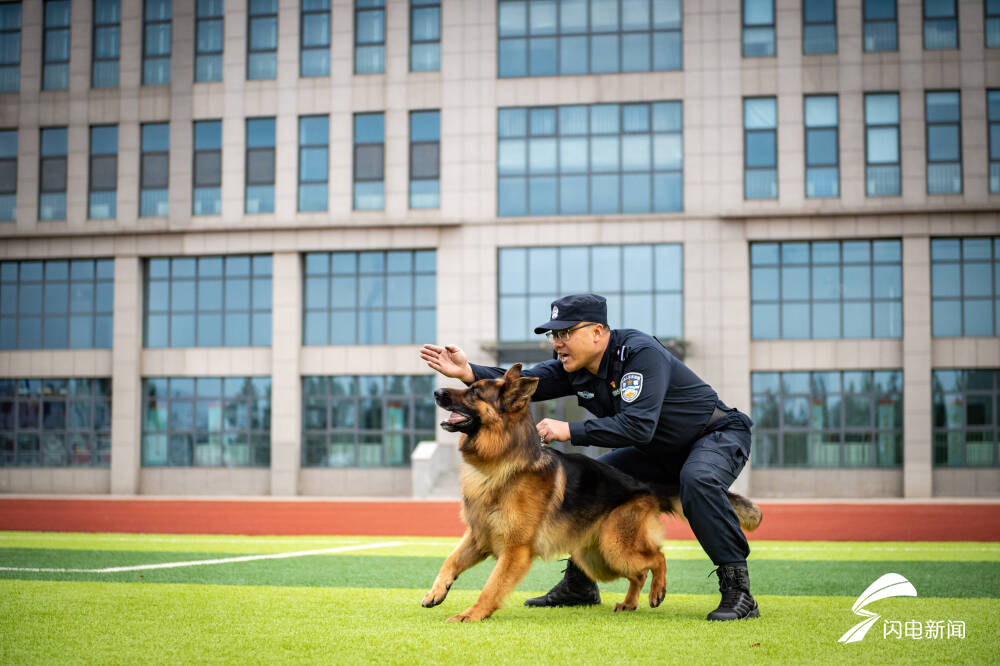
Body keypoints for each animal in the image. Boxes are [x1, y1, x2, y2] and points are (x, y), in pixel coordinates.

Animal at [420, 360, 756, 620]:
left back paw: (658, 591)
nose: (436, 392)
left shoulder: (515, 550)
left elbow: (492, 586)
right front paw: (437, 591)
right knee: (639, 572)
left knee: (656, 557)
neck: (502, 463)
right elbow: (450, 560)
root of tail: (645, 489)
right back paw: (630, 602)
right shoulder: (479, 536)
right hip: (596, 557)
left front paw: (473, 613)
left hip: (614, 547)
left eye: (474, 392)